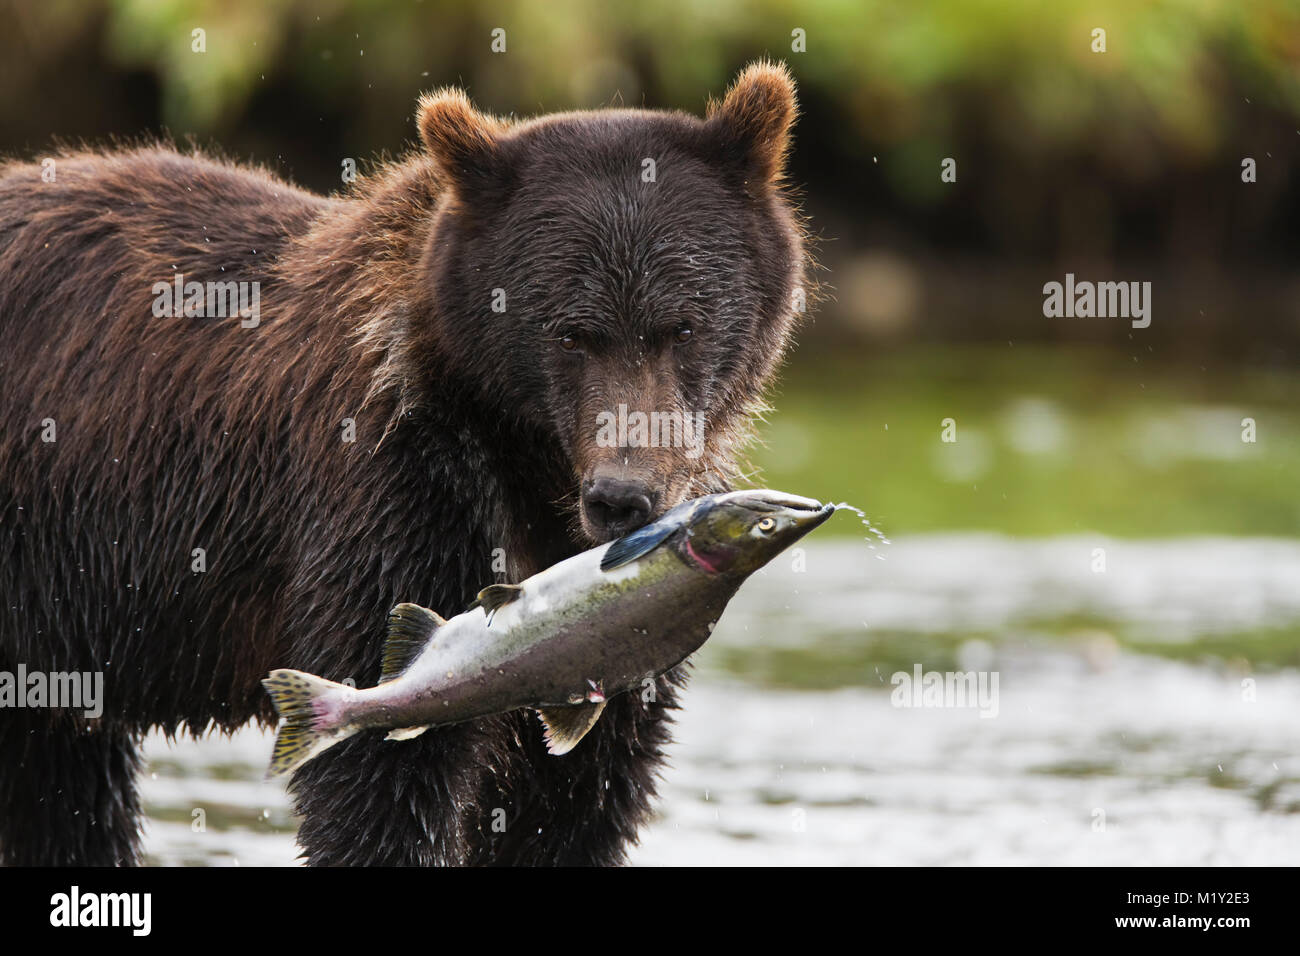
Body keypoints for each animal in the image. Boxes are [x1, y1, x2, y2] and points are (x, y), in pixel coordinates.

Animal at [0, 60, 809, 866]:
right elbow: (384, 777)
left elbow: (579, 793)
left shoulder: (614, 639)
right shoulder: (396, 490)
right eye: (571, 333)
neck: (529, 466)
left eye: (683, 326)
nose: (623, 497)